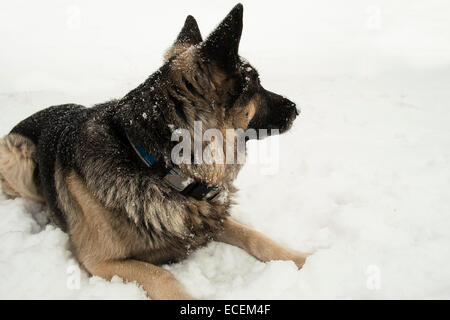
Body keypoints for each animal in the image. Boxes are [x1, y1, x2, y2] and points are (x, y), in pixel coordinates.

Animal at [0, 3, 306, 300]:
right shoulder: (100, 262)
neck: (159, 168)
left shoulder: (209, 220)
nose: (296, 108)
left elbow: (256, 237)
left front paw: (303, 259)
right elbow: (163, 276)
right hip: (18, 158)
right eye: (257, 86)